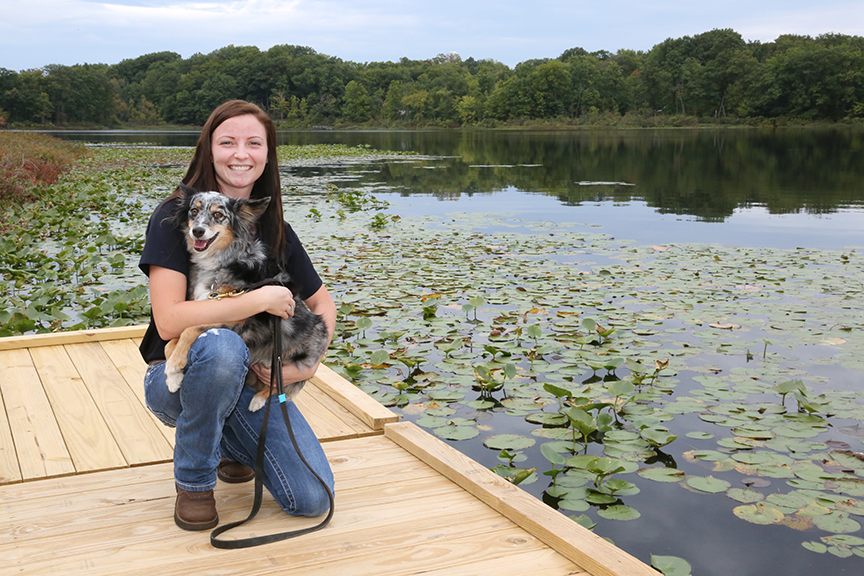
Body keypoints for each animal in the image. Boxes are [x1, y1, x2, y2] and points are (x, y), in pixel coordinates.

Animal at [160, 182, 330, 412]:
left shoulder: (239, 316)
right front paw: (174, 376)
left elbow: (190, 329)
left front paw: (175, 365)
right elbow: (170, 342)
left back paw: (258, 400)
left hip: (284, 360)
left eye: (218, 215)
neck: (222, 261)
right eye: (193, 211)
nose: (197, 231)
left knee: (279, 387)